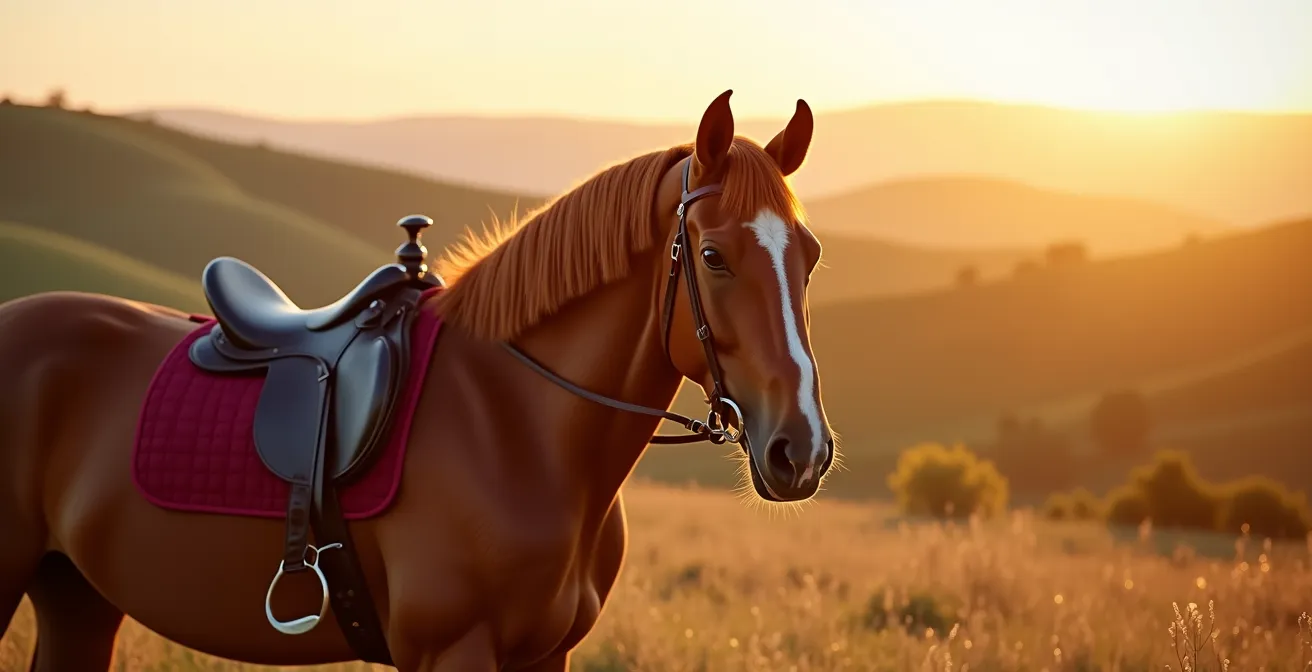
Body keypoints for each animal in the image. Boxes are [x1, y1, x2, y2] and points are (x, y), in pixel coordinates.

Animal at [0, 89, 836, 671]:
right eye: (714, 256)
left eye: (811, 254)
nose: (801, 451)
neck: (515, 425)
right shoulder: (453, 650)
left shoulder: (547, 653)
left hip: (78, 597)